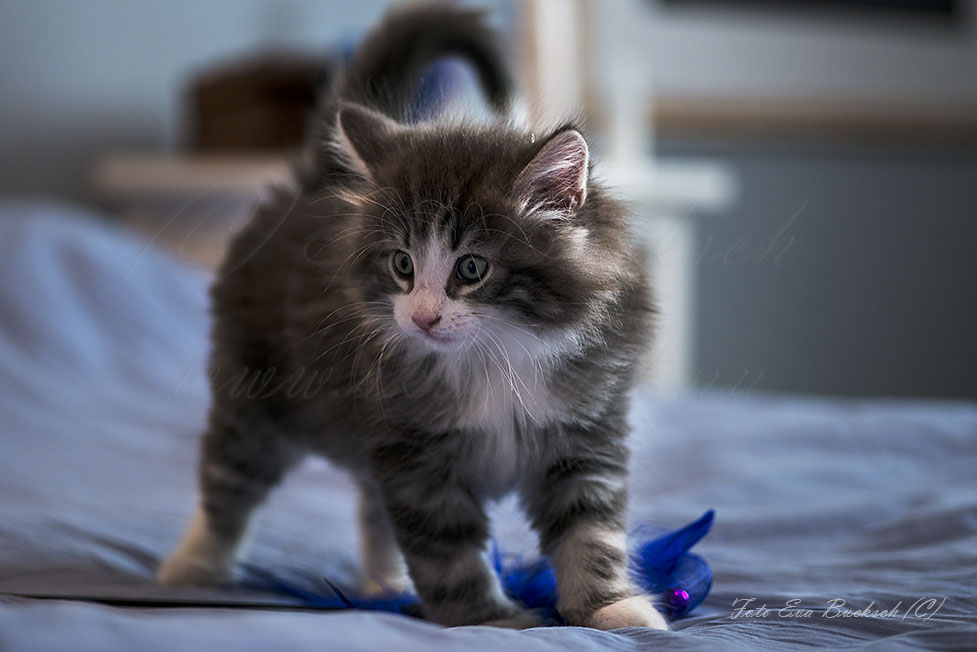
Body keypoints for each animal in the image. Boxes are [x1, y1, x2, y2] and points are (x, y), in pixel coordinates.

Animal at [160, 2, 664, 628]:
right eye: (402, 264)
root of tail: (317, 180)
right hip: (255, 394)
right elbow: (446, 551)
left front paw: (613, 611)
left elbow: (591, 536)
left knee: (369, 507)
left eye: (471, 268)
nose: (422, 318)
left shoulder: (586, 435)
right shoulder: (415, 456)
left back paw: (383, 584)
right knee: (227, 481)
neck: (497, 356)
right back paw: (192, 566)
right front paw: (489, 621)